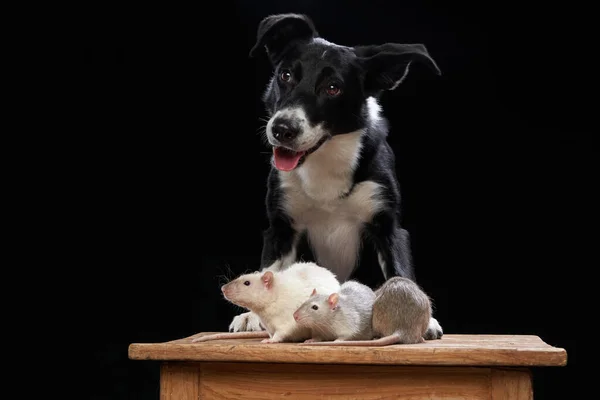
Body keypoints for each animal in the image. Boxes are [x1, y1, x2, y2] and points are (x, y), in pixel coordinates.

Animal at [230, 12, 446, 340]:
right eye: (285, 75)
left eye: (333, 88)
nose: (282, 129)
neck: (324, 159)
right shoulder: (281, 227)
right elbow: (271, 270)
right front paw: (251, 315)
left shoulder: (387, 226)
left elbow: (399, 270)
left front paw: (425, 319)